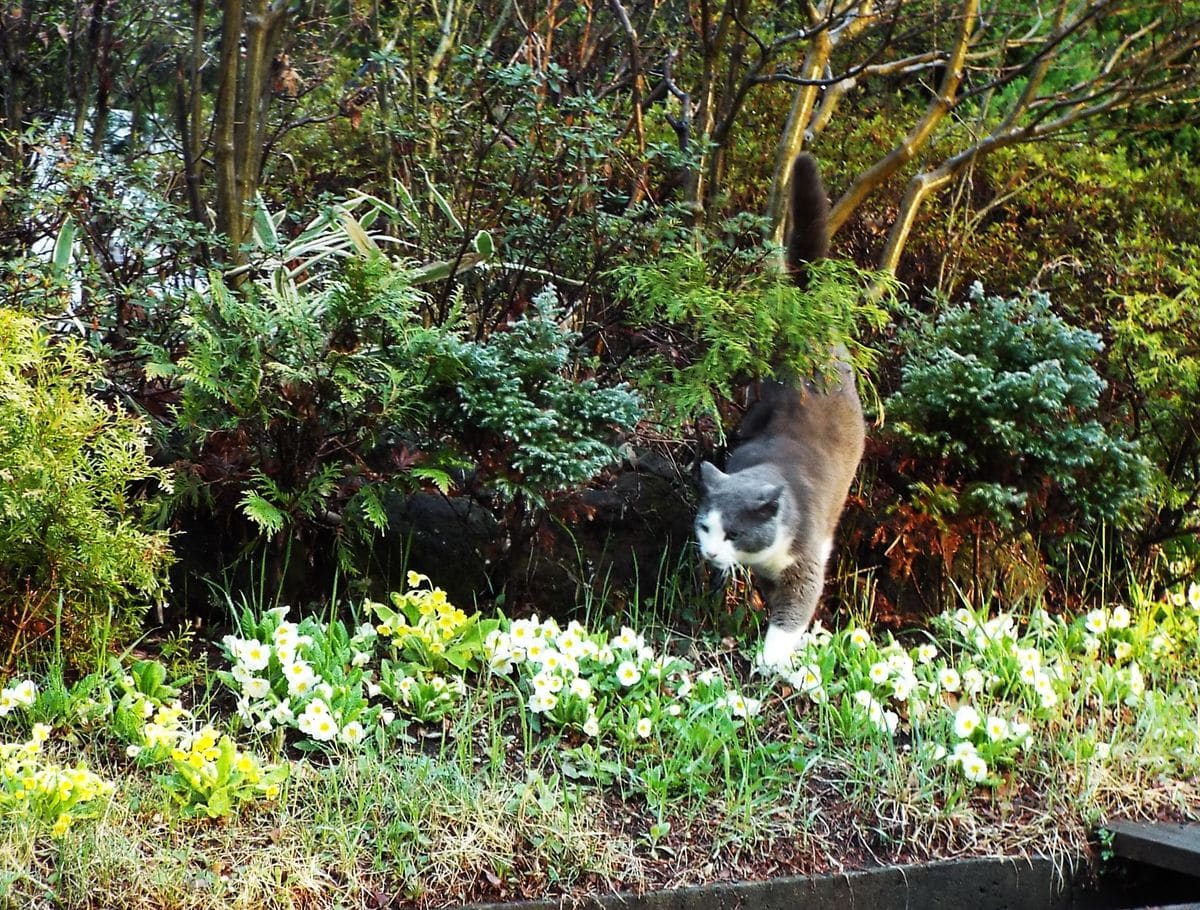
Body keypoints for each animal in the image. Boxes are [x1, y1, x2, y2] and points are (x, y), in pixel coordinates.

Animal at [696, 154, 864, 672]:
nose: (710, 554)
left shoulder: (804, 562)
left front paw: (772, 661)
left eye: (733, 532)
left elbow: (793, 610)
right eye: (706, 527)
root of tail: (810, 320)